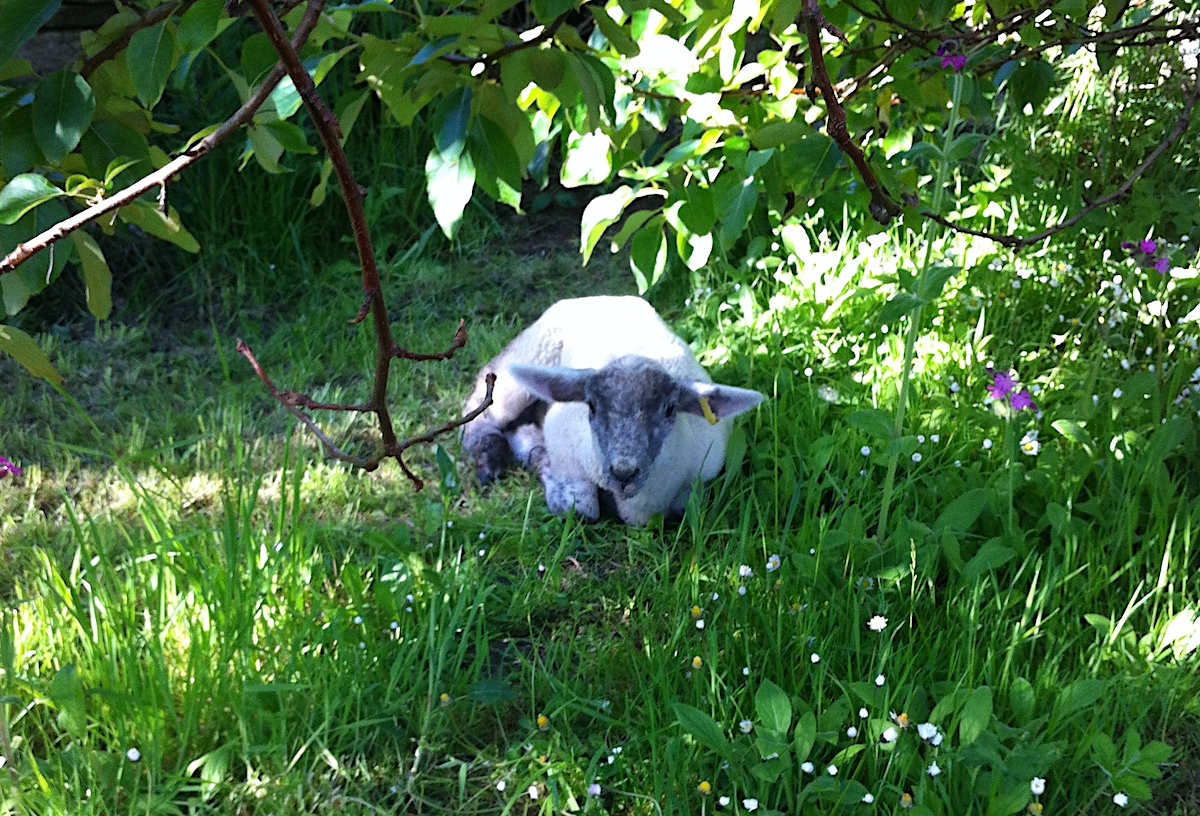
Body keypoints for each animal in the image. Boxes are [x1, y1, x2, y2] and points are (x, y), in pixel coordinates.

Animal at [461, 296, 765, 526]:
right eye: (592, 406)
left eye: (669, 409)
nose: (624, 473)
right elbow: (581, 509)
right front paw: (540, 461)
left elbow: (687, 506)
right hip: (524, 360)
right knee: (478, 414)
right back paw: (490, 459)